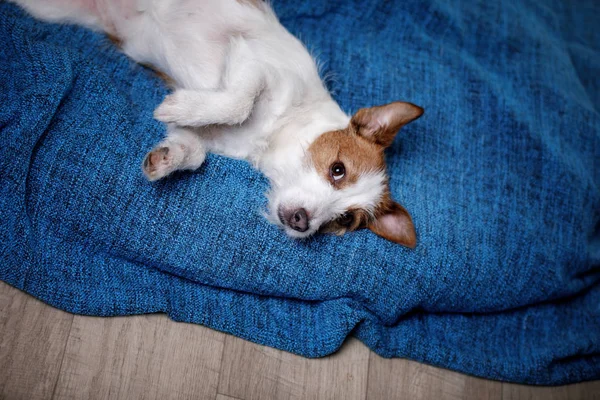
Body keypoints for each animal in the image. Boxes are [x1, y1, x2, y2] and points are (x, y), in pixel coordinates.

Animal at [9, 0, 422, 247]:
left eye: (345, 220)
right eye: (338, 169)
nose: (301, 223)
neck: (270, 137)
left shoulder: (213, 137)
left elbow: (194, 152)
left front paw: (167, 158)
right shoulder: (252, 63)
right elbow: (238, 102)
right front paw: (179, 107)